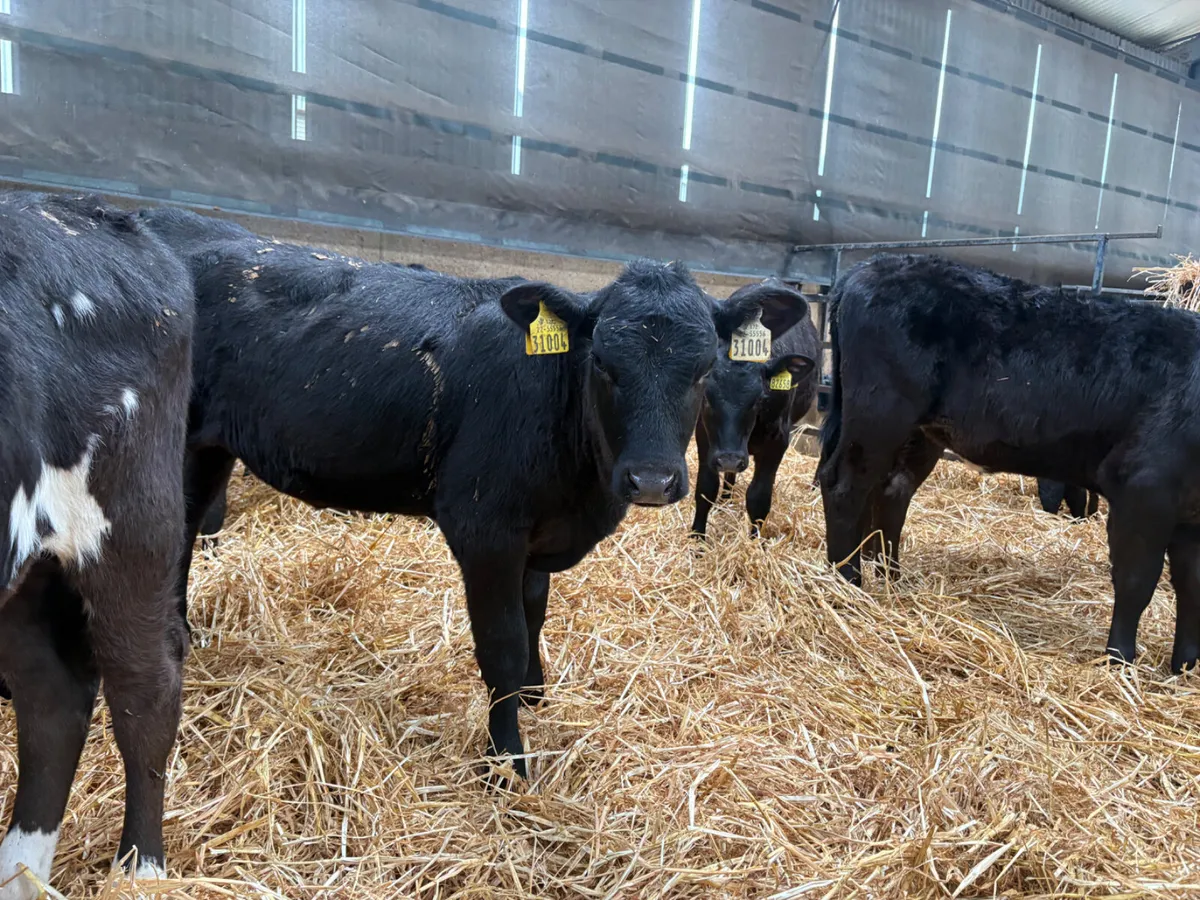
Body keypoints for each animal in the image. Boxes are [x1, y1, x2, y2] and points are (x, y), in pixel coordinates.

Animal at [691, 281, 818, 537]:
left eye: (759, 399)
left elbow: (759, 498)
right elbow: (705, 489)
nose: (729, 459)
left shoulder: (777, 443)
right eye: (706, 398)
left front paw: (755, 541)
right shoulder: (705, 437)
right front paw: (697, 538)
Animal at [817, 252, 1200, 674]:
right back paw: (848, 581)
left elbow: (1191, 587)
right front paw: (1120, 662)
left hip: (917, 433)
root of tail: (870, 265)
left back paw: (892, 580)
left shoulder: (1190, 517)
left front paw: (1184, 668)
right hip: (879, 413)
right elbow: (1136, 581)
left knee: (892, 490)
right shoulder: (1143, 491)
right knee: (844, 485)